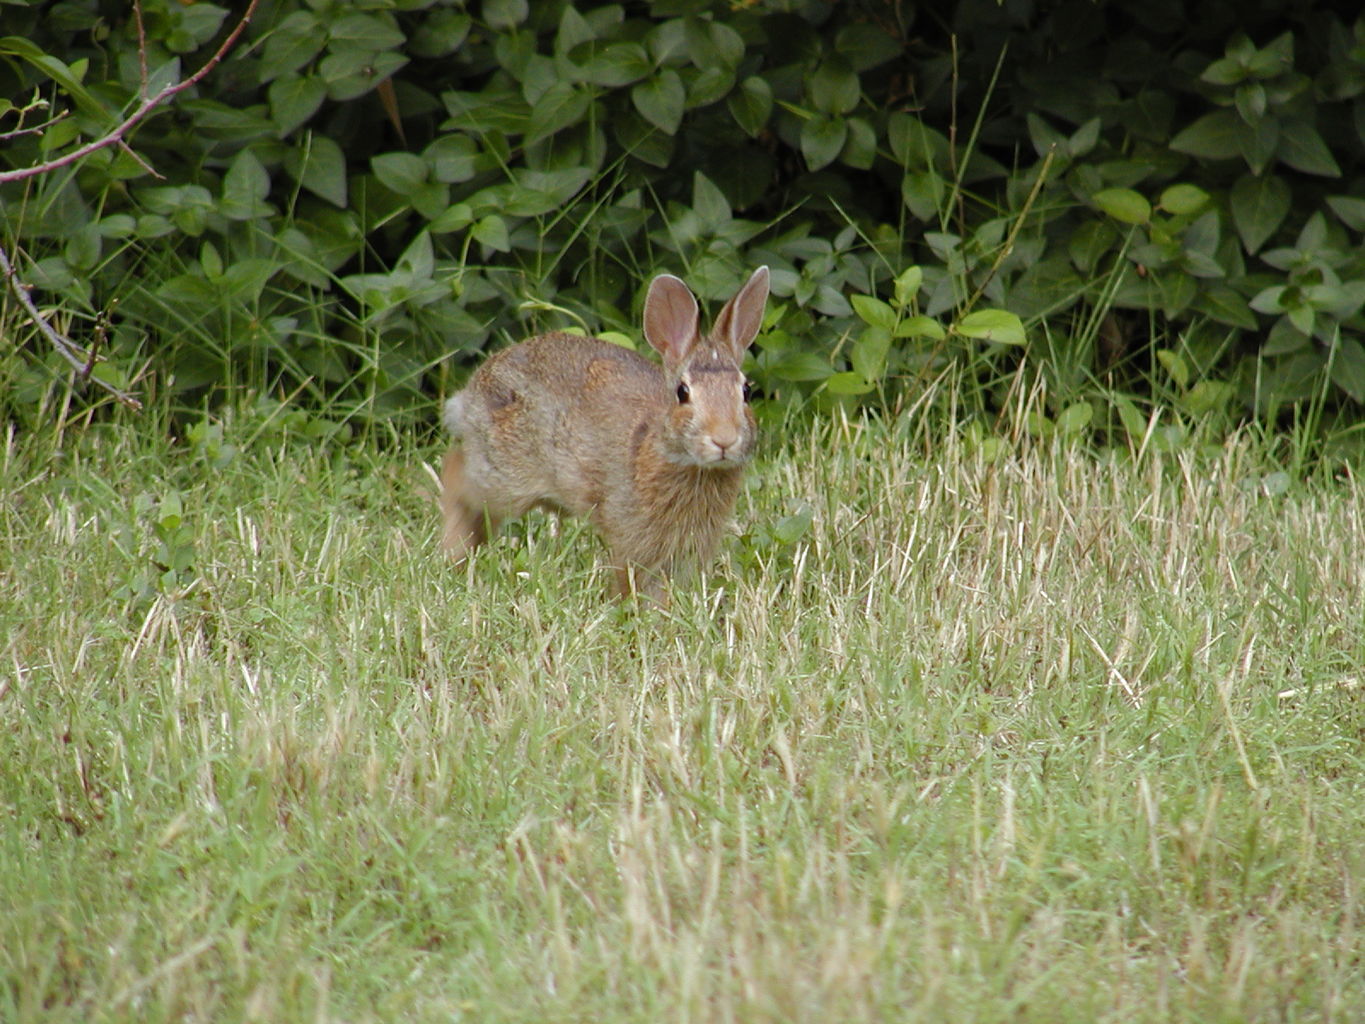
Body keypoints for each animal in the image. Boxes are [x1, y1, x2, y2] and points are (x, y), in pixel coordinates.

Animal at [442, 266, 775, 600]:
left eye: (746, 392)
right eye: (683, 392)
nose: (724, 439)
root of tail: (476, 386)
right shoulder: (630, 536)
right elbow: (628, 580)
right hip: (505, 477)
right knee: (455, 475)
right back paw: (453, 554)